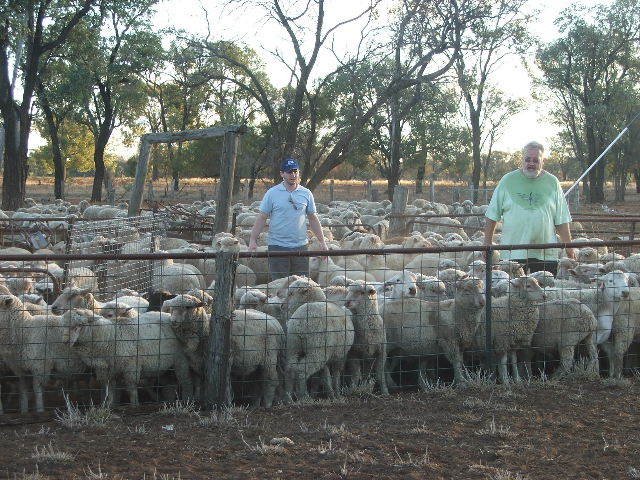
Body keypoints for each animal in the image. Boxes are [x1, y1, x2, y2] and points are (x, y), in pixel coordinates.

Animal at [62, 308, 192, 404]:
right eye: (63, 326)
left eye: (80, 325)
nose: (65, 342)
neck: (108, 336)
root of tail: (167, 315)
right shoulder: (107, 371)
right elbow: (110, 390)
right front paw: (109, 405)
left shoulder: (131, 367)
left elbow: (131, 389)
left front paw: (135, 405)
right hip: (164, 365)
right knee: (167, 383)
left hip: (180, 359)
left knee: (185, 381)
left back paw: (186, 400)